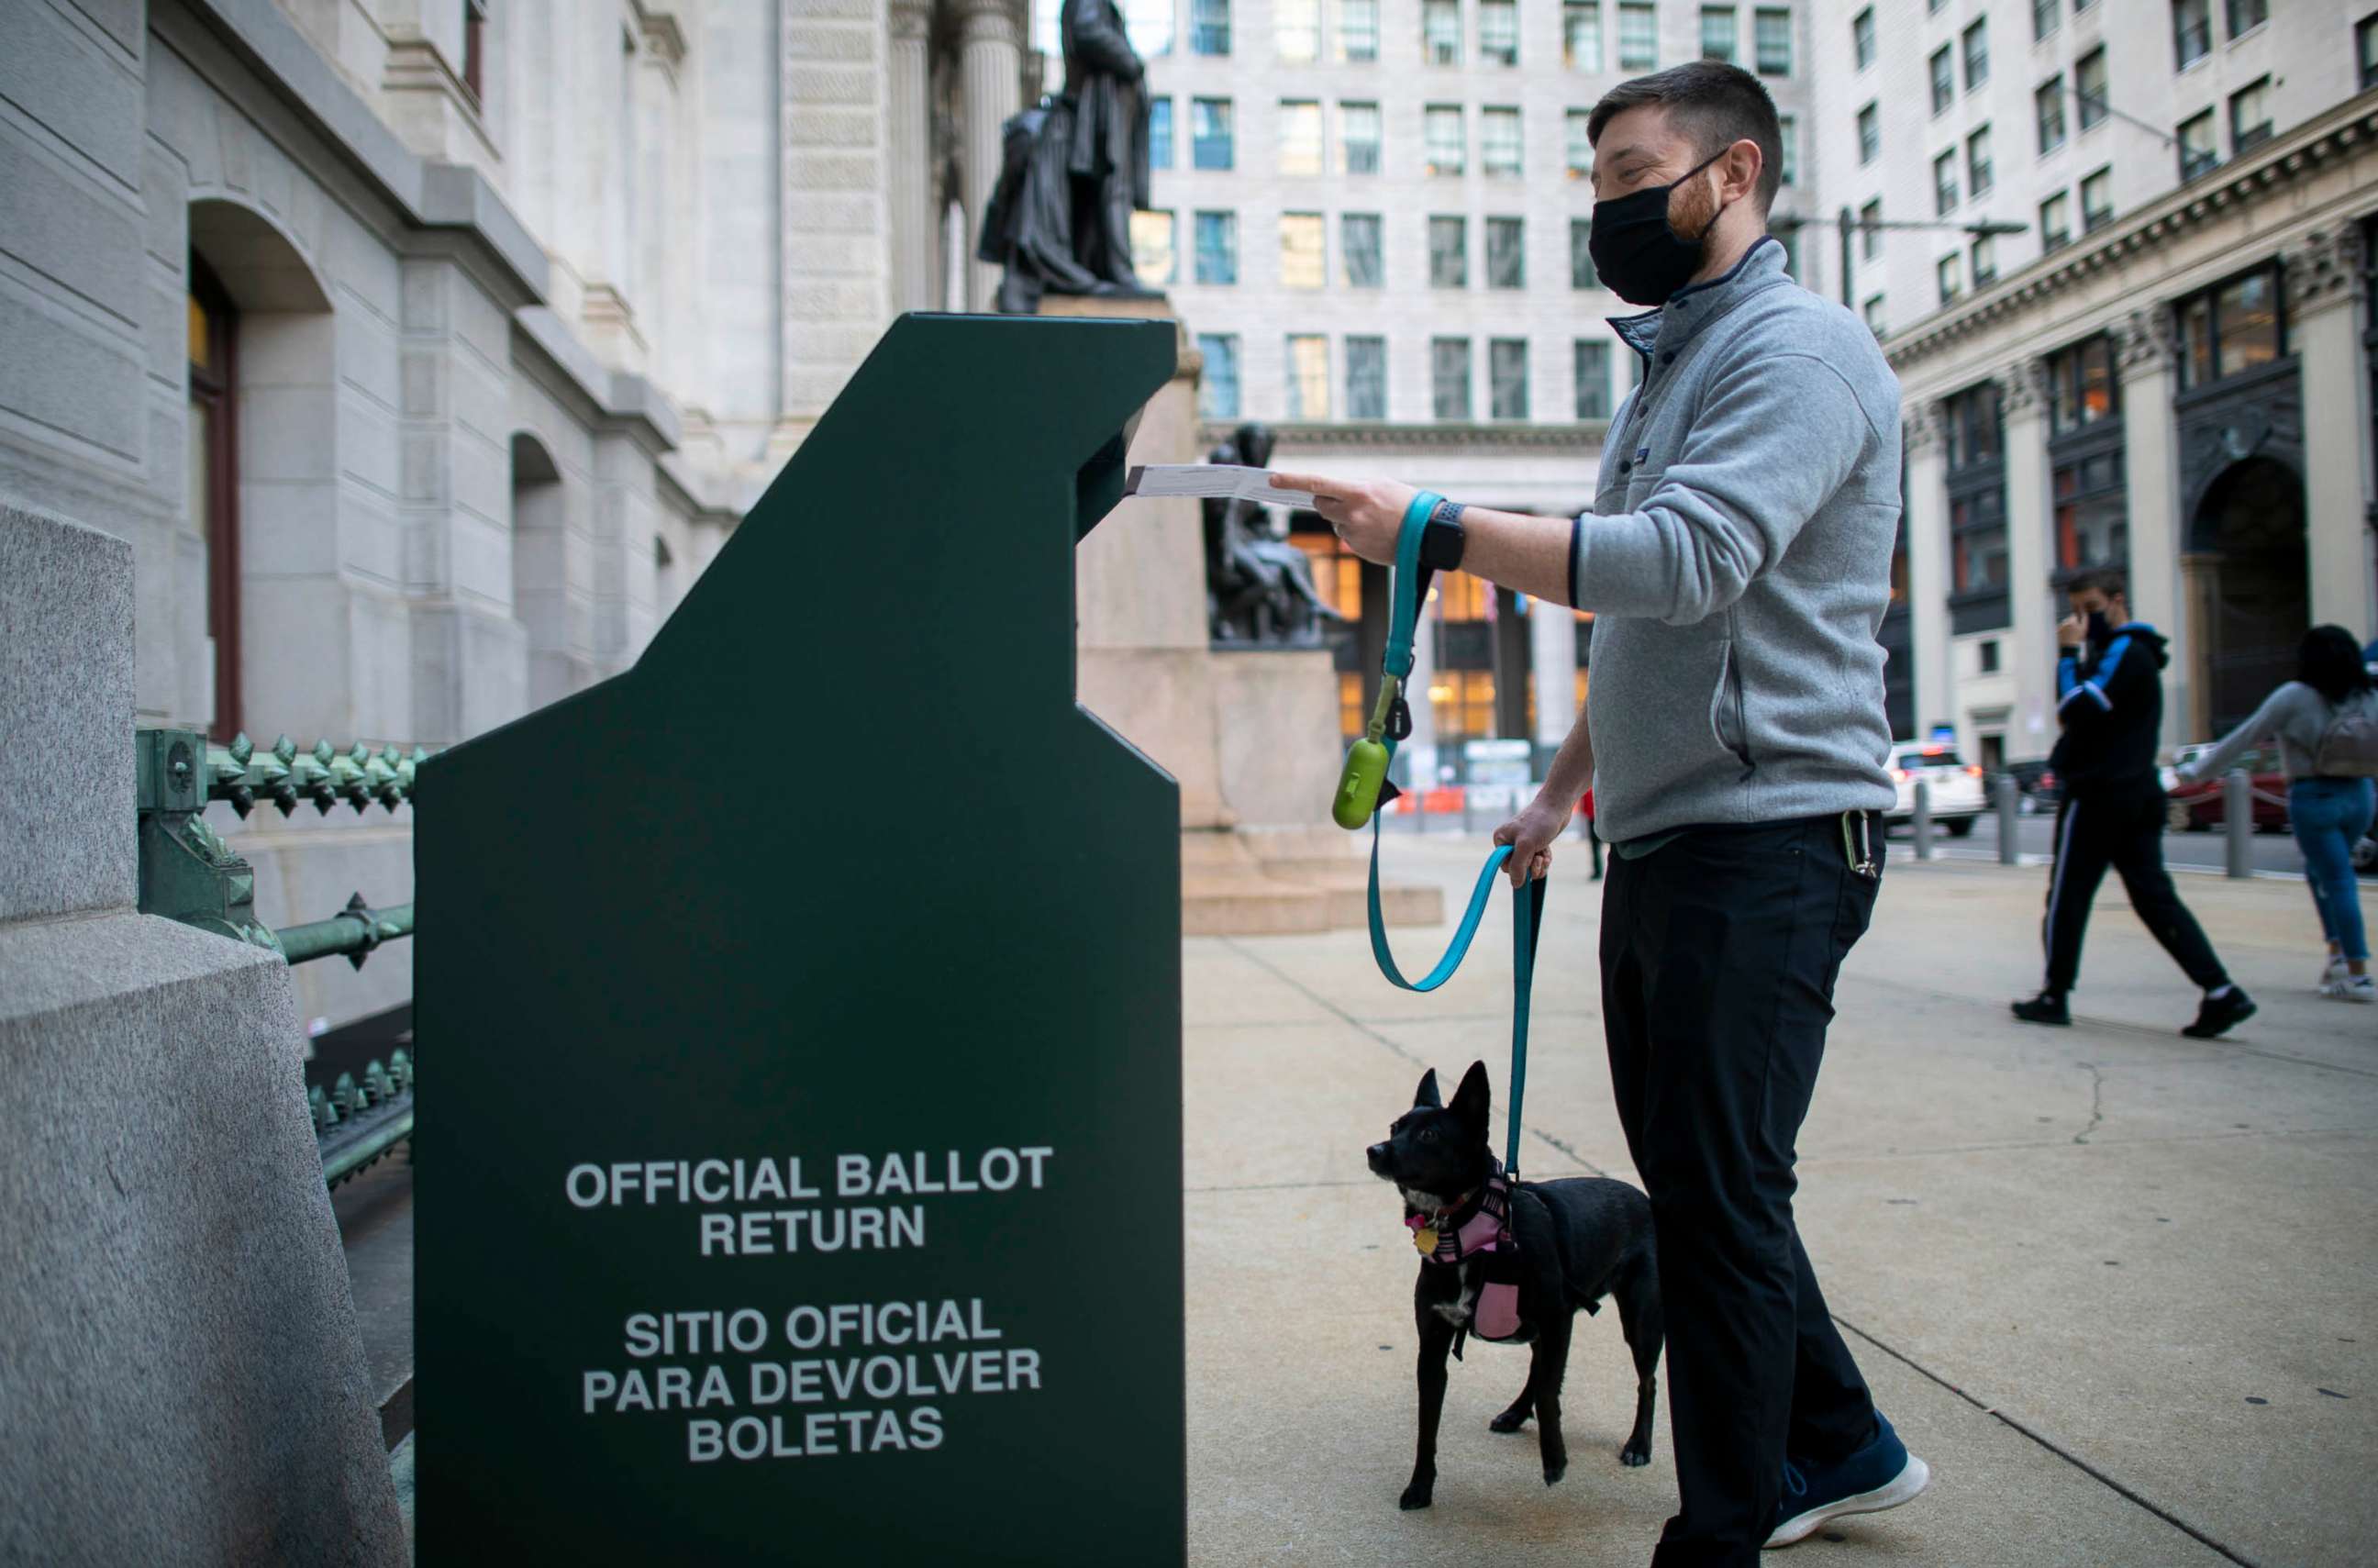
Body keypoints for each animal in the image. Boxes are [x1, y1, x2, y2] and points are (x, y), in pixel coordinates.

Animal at [1369, 1061, 1664, 1513]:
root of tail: (1642, 1198)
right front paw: (1420, 1487)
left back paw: (1638, 1445)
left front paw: (1555, 1460)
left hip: (1641, 1319)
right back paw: (1515, 1412)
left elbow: (1548, 1390)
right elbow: (1426, 1426)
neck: (1470, 1227)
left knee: (1644, 1381)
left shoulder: (1558, 1319)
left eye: (1429, 1135)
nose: (1374, 1150)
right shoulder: (1432, 1346)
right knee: (1539, 1366)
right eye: (1394, 1126)